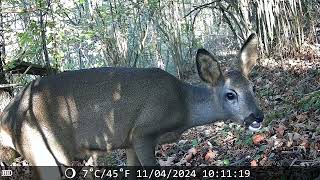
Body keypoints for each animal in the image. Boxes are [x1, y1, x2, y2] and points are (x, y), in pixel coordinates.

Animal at [0, 33, 262, 179]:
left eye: (253, 87)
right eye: (230, 94)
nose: (257, 117)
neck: (183, 107)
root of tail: (7, 116)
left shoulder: (128, 141)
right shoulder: (143, 132)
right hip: (40, 147)